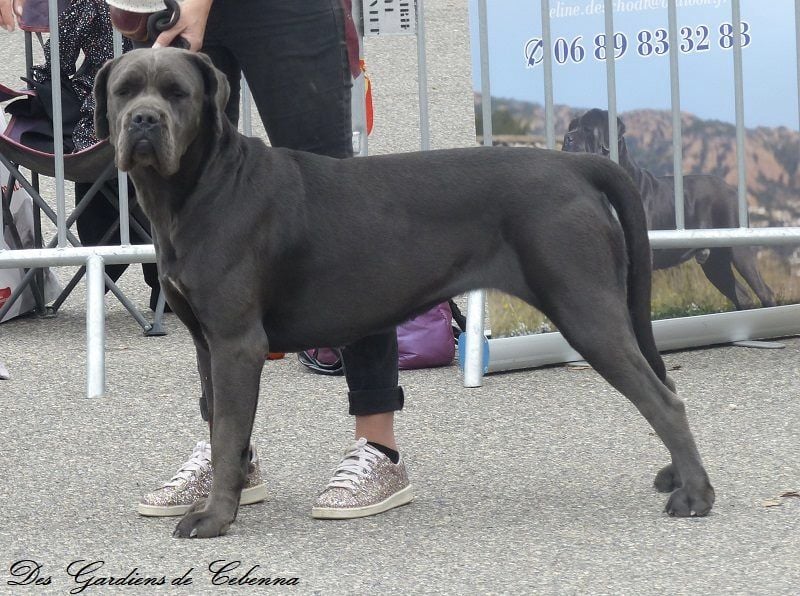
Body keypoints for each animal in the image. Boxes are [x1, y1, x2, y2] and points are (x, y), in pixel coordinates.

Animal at [94, 49, 714, 538]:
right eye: (125, 91)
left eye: (177, 93)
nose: (144, 120)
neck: (199, 187)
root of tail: (576, 165)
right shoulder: (208, 343)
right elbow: (219, 423)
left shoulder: (236, 342)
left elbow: (225, 435)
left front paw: (215, 518)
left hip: (585, 308)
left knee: (664, 400)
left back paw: (696, 496)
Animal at [563, 108, 776, 310]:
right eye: (571, 127)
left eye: (587, 129)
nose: (567, 138)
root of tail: (731, 189)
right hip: (715, 263)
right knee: (741, 295)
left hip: (739, 248)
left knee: (764, 291)